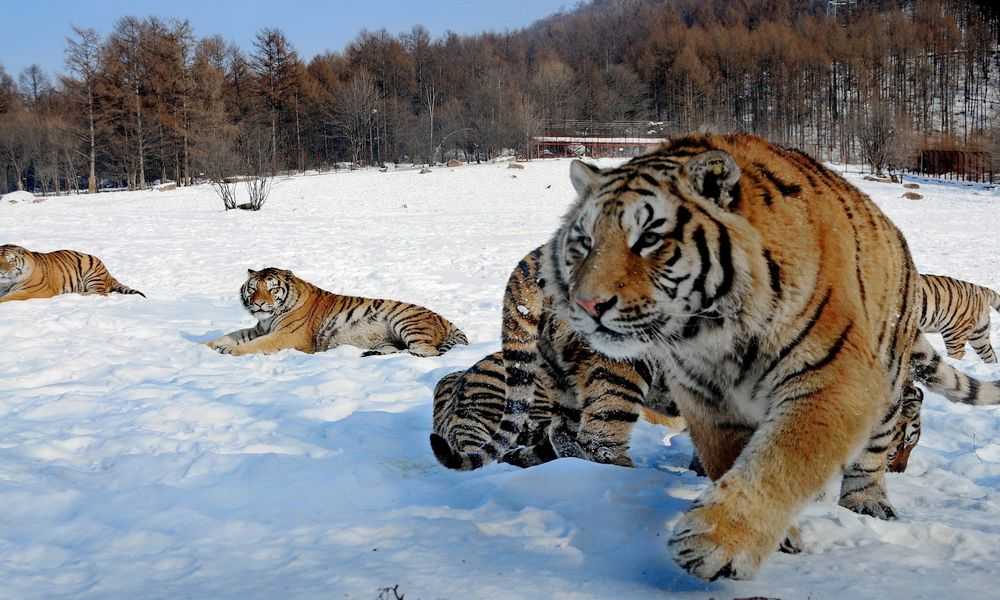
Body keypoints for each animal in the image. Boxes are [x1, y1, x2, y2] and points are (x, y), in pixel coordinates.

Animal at [0, 243, 145, 302]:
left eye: (10, 261)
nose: (1, 272)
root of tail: (109, 275)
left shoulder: (31, 291)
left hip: (91, 272)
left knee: (101, 293)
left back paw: (80, 293)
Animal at [211, 270, 468, 358]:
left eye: (272, 289)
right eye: (253, 289)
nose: (260, 304)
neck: (269, 319)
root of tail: (445, 319)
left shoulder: (287, 335)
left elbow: (256, 345)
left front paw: (230, 351)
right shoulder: (258, 329)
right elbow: (234, 334)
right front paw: (210, 345)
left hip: (405, 322)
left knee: (427, 352)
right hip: (389, 338)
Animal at [460, 134, 1000, 580]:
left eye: (649, 239)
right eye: (586, 241)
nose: (587, 303)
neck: (716, 331)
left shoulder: (825, 381)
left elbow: (774, 457)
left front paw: (721, 535)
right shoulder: (714, 395)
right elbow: (762, 460)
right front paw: (725, 540)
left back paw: (867, 505)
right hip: (616, 373)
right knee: (596, 437)